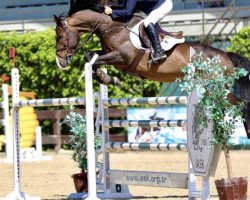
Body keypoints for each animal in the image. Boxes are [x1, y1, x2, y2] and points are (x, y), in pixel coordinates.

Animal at [53, 0, 250, 137]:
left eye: (60, 35)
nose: (60, 62)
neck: (111, 26)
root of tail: (226, 55)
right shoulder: (110, 54)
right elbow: (90, 57)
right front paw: (108, 79)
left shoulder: (122, 57)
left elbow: (92, 60)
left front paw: (109, 78)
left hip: (219, 87)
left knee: (242, 104)